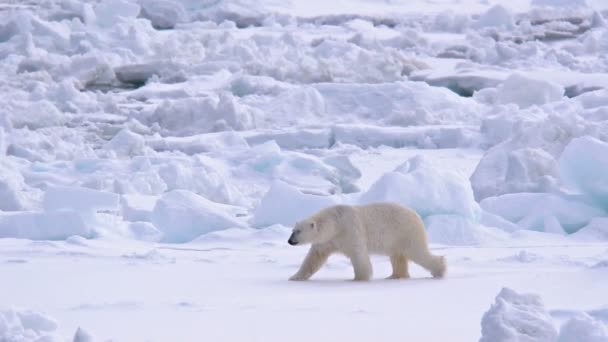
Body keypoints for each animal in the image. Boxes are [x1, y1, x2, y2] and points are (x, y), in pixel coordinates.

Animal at [288, 203, 444, 280]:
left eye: (298, 231)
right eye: (293, 230)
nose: (290, 241)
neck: (335, 223)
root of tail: (417, 215)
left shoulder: (350, 230)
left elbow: (358, 254)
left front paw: (360, 278)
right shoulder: (328, 240)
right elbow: (313, 258)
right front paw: (295, 277)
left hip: (406, 233)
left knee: (418, 252)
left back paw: (440, 271)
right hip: (397, 239)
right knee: (398, 257)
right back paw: (395, 276)